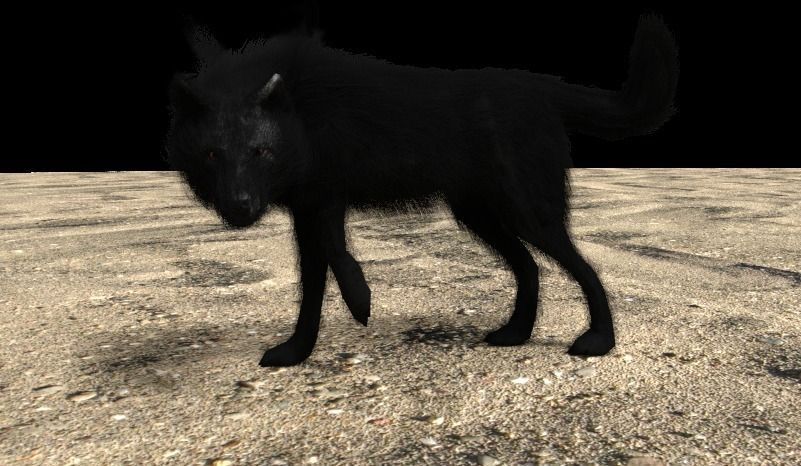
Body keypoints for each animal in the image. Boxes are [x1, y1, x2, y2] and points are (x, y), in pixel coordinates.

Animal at [164, 15, 678, 367]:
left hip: (528, 213)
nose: (240, 208)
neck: (300, 112)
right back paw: (516, 333)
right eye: (212, 154)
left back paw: (600, 341)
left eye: (260, 152)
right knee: (530, 268)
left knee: (584, 269)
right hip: (480, 215)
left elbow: (335, 256)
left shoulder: (325, 200)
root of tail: (538, 87)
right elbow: (312, 285)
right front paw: (296, 351)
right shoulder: (308, 211)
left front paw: (360, 299)